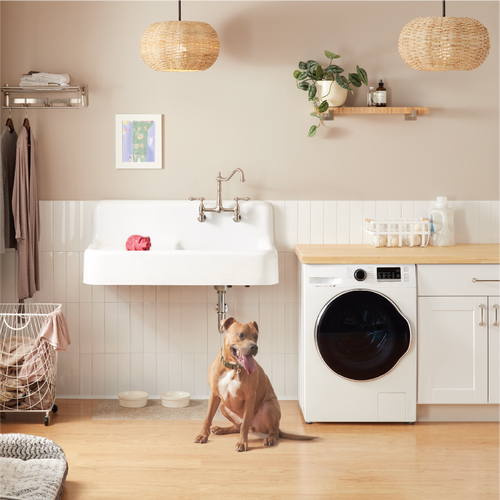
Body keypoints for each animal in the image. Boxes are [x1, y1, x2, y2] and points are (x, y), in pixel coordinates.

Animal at [193, 318, 310, 452]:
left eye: (256, 336)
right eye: (241, 335)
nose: (254, 347)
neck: (233, 367)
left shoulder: (249, 398)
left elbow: (244, 425)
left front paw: (242, 443)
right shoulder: (214, 394)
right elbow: (208, 418)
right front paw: (202, 435)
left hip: (268, 406)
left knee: (271, 431)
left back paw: (270, 439)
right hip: (223, 405)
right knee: (237, 426)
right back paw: (221, 429)